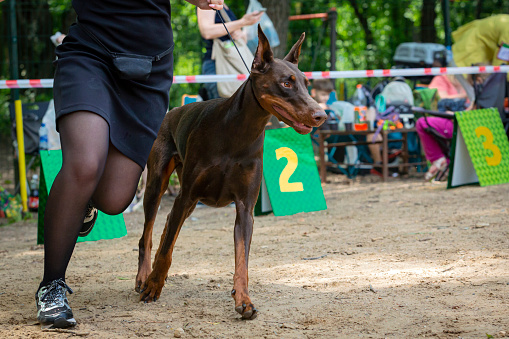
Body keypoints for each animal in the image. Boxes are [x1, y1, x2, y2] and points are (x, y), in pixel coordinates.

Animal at [135, 25, 326, 320]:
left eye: (306, 83)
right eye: (286, 83)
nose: (321, 115)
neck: (237, 133)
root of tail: (172, 112)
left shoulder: (245, 206)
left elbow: (242, 260)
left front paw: (244, 300)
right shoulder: (186, 195)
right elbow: (165, 248)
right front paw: (154, 284)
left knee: (168, 225)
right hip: (158, 184)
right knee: (149, 233)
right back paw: (145, 277)